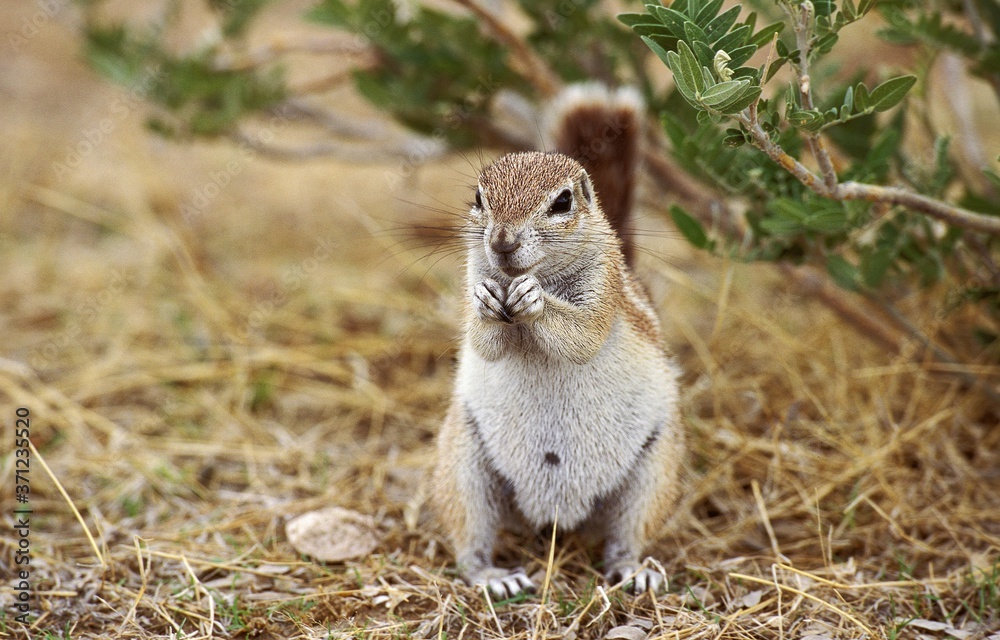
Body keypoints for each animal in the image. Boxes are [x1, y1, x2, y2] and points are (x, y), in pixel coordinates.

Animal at [431, 83, 684, 598]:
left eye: (563, 202)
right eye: (478, 196)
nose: (502, 242)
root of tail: (556, 516)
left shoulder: (604, 288)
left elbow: (583, 335)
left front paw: (535, 300)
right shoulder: (471, 277)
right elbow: (484, 342)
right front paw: (488, 302)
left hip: (653, 474)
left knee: (626, 538)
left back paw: (634, 570)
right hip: (463, 466)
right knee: (469, 542)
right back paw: (494, 577)